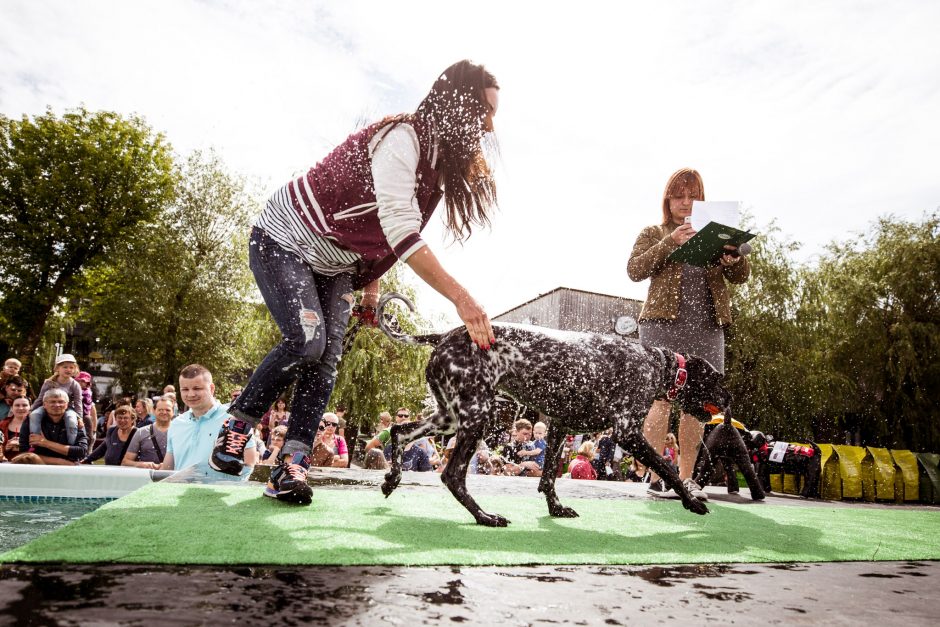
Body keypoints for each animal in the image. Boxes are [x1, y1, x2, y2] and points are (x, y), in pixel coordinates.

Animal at [374, 294, 728, 524]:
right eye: (717, 381)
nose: (729, 401)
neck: (655, 365)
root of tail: (444, 335)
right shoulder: (627, 434)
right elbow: (669, 469)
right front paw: (691, 501)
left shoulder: (560, 426)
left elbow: (548, 480)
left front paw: (556, 510)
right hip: (477, 418)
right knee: (452, 476)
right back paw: (484, 516)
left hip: (448, 418)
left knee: (399, 431)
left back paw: (392, 479)